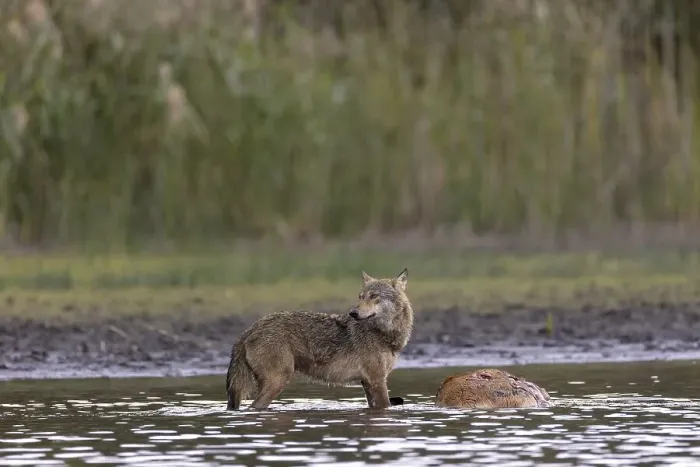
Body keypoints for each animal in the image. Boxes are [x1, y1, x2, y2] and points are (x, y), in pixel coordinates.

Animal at [225, 268, 413, 410]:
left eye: (374, 296)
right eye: (361, 296)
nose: (353, 313)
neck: (383, 334)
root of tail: (248, 330)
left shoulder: (368, 382)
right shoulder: (377, 381)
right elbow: (386, 406)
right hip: (277, 382)